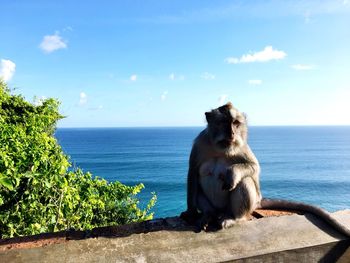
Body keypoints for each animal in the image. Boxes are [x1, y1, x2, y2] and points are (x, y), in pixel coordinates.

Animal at [180, 102, 350, 238]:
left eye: (235, 123)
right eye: (223, 122)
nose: (232, 133)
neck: (220, 149)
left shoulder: (241, 146)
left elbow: (254, 168)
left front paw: (232, 173)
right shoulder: (200, 143)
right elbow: (192, 174)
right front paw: (190, 213)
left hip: (246, 204)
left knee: (245, 181)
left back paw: (235, 218)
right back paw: (208, 215)